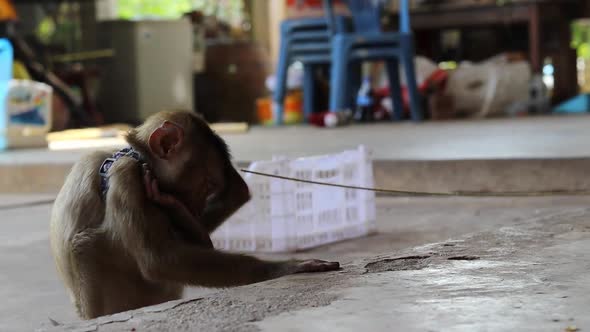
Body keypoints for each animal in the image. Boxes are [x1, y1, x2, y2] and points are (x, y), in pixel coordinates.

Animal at [52, 111, 342, 320]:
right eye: (207, 184)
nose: (196, 206)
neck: (129, 155)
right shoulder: (127, 175)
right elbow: (159, 260)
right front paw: (285, 267)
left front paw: (178, 209)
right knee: (87, 244)